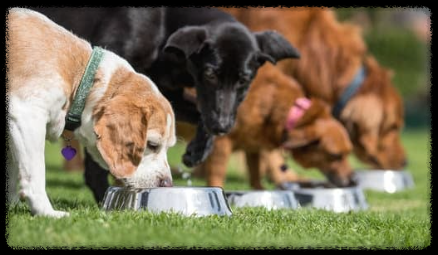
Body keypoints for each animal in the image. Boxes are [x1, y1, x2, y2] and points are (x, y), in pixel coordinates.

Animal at [6, 7, 175, 217]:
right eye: (152, 145)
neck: (80, 75)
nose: (167, 184)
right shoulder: (26, 115)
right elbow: (35, 173)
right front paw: (47, 212)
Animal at [33, 7, 302, 202]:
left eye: (244, 80)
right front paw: (104, 196)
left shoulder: (167, 92)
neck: (162, 26)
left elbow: (199, 114)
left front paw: (198, 150)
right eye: (210, 74)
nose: (223, 126)